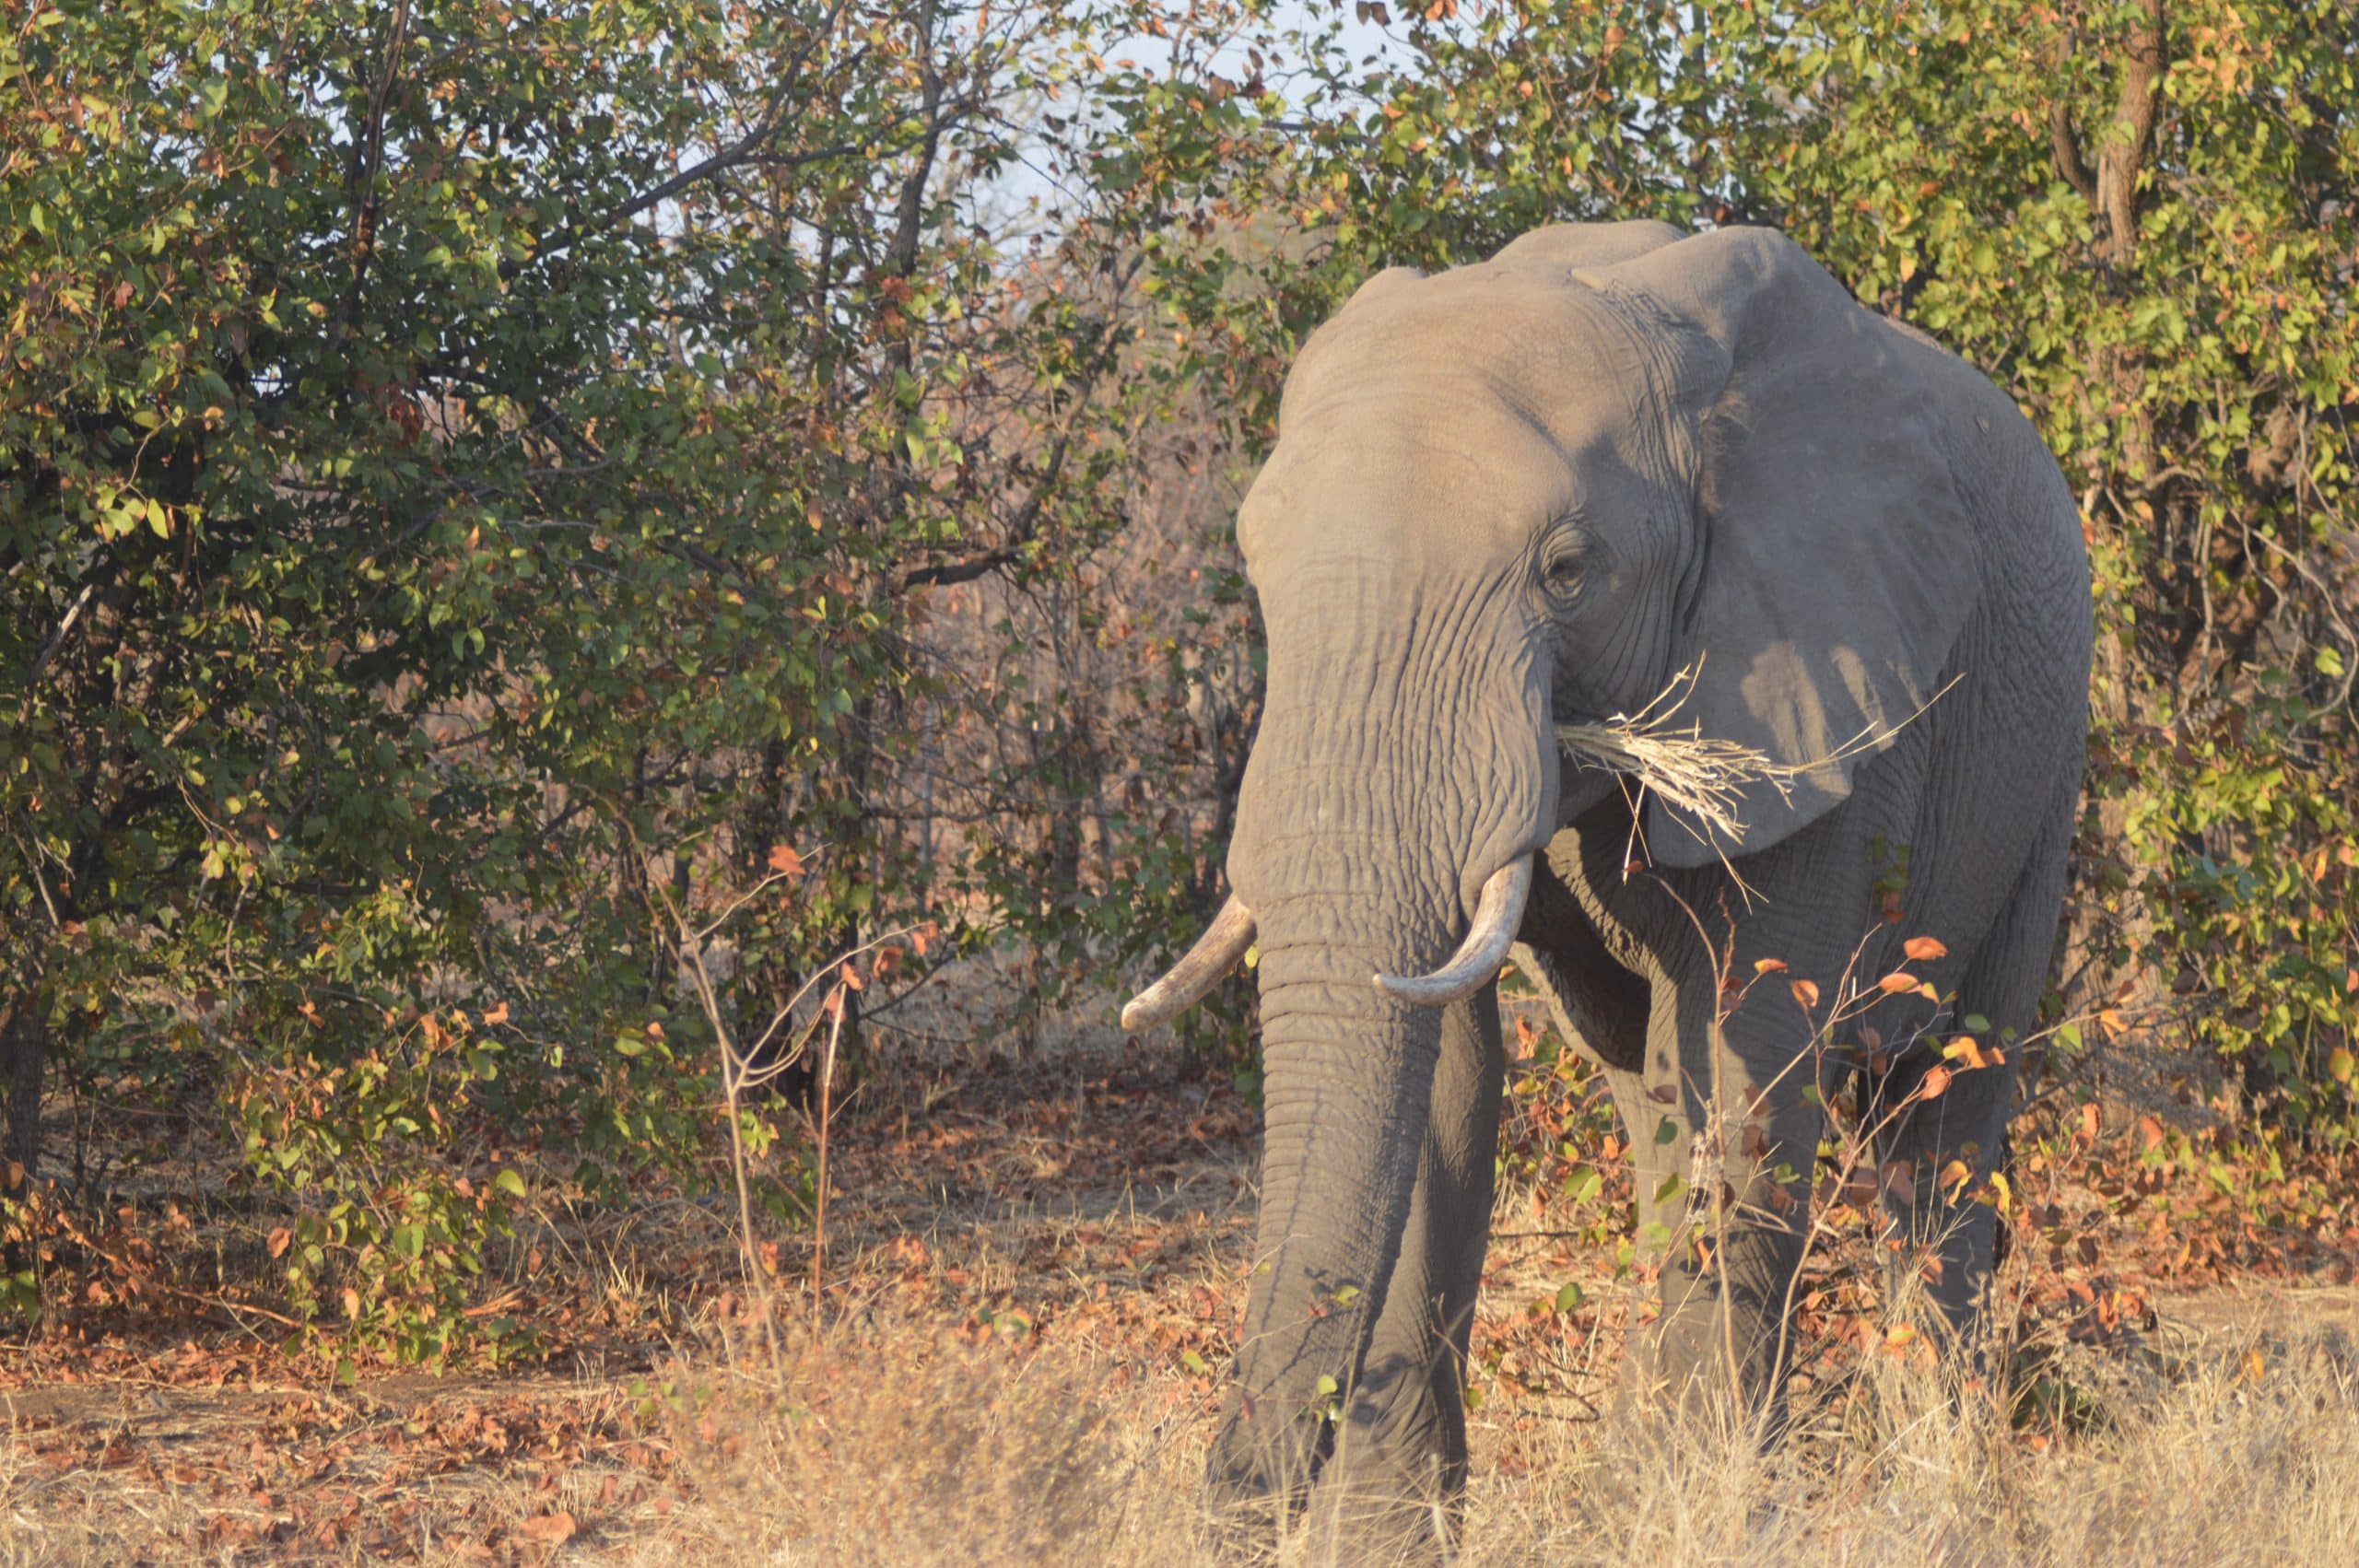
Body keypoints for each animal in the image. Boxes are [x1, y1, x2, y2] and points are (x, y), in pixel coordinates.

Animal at [1122, 220, 2104, 1527]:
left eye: (1567, 571)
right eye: (1253, 564)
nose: (1231, 1500)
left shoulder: (1825, 695)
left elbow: (1749, 1074)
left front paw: (1708, 1511)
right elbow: (1442, 1089)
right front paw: (1389, 1538)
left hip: (2041, 765)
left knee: (1939, 1117)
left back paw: (1941, 1486)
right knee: (1656, 1103)